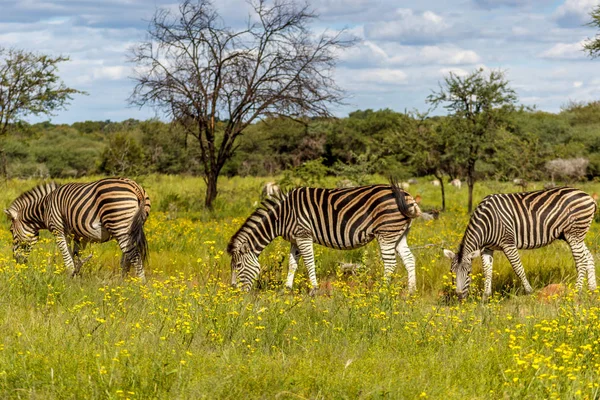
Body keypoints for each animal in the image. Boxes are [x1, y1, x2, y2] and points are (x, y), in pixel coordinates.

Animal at [5, 177, 150, 280]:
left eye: (11, 231)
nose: (16, 260)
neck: (45, 208)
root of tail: (136, 187)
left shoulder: (59, 230)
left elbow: (67, 256)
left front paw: (70, 278)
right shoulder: (80, 236)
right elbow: (76, 256)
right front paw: (76, 277)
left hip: (120, 226)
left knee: (134, 256)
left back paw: (140, 288)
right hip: (131, 228)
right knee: (127, 258)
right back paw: (123, 285)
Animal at [442, 187, 596, 300]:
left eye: (468, 272)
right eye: (451, 273)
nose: (459, 296)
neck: (487, 222)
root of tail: (589, 197)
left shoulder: (508, 243)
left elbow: (518, 268)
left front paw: (529, 291)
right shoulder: (487, 248)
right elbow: (488, 271)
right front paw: (486, 297)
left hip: (574, 234)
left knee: (581, 260)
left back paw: (576, 291)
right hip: (573, 235)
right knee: (588, 257)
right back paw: (592, 290)